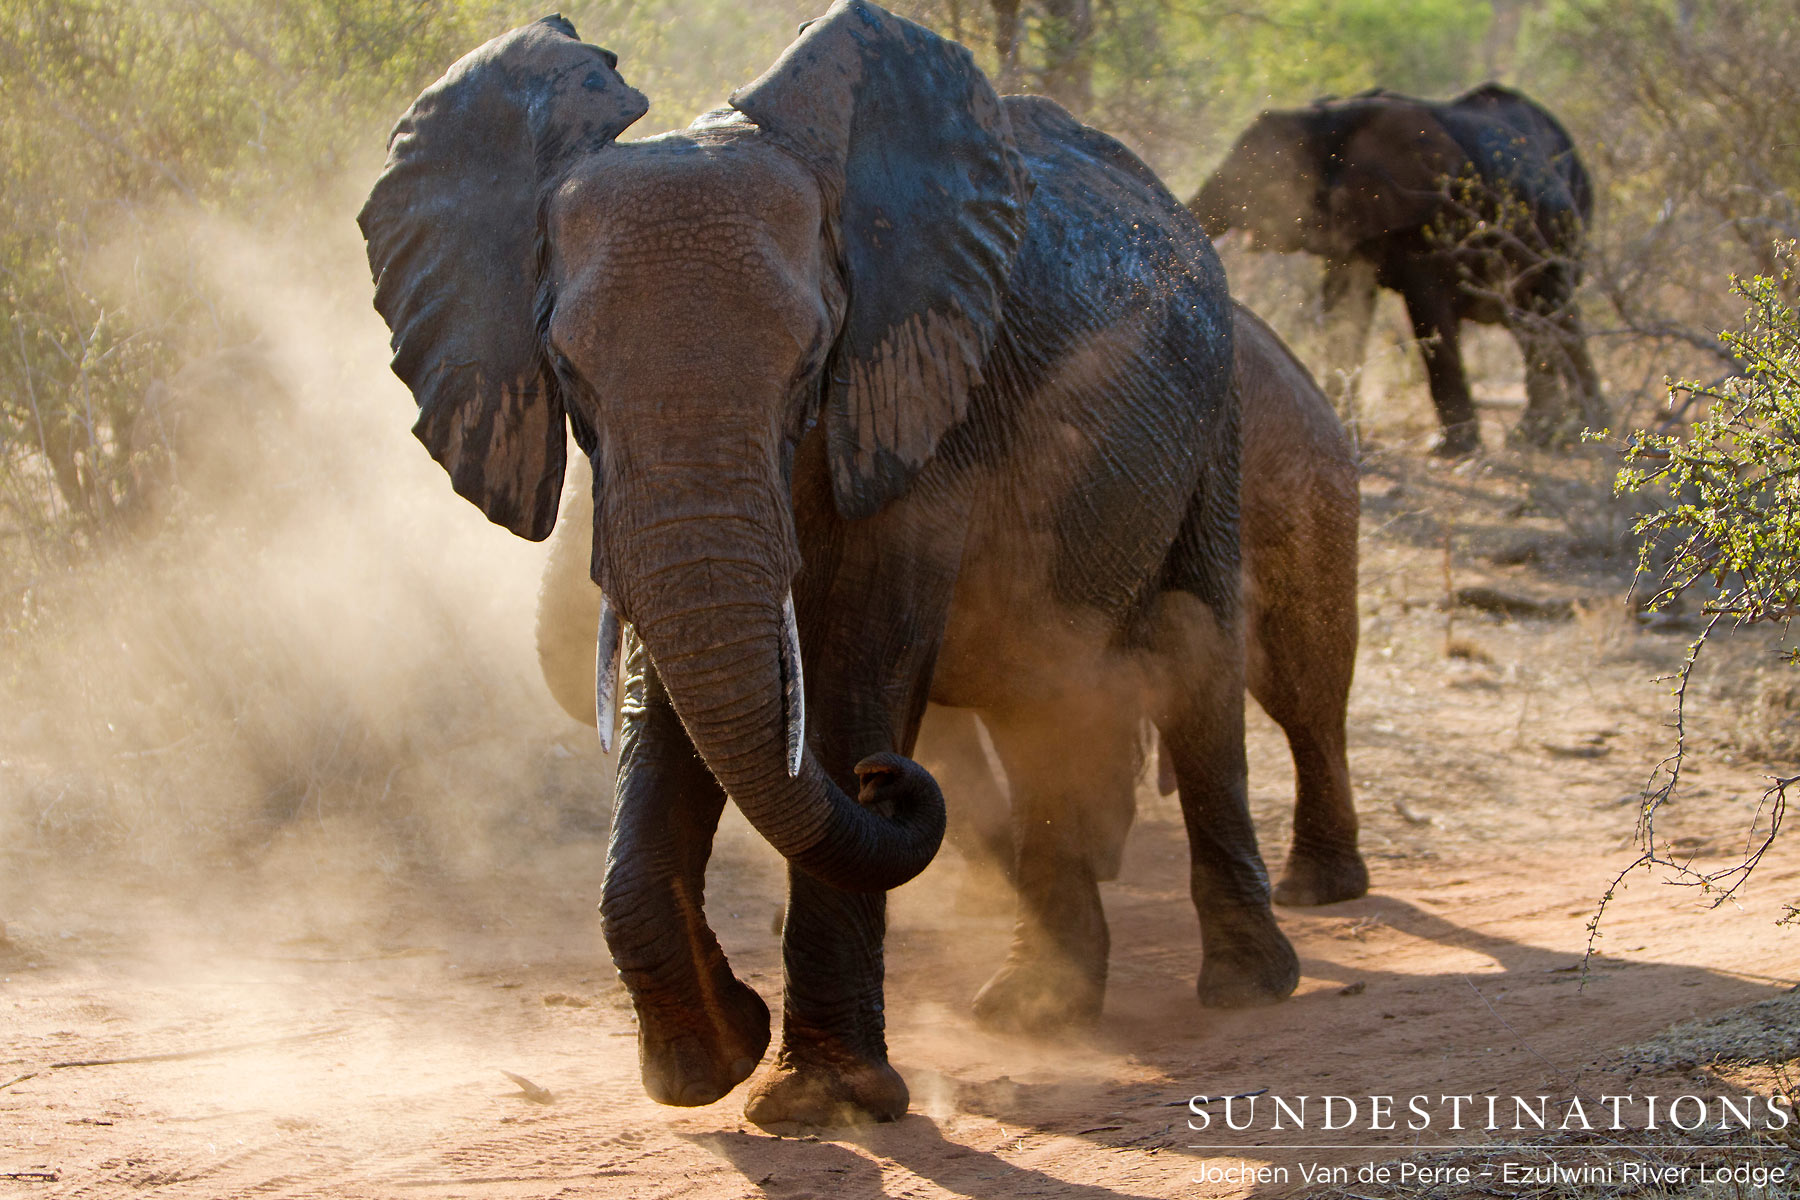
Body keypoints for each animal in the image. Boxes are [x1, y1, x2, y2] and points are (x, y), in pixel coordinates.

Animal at [1190, 84, 1606, 456]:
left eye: (1261, 180)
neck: (1332, 116)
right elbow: (1346, 308)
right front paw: (1346, 439)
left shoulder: (1430, 214)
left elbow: (1428, 312)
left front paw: (1451, 450)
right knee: (1539, 324)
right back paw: (1562, 432)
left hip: (1563, 226)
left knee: (1550, 316)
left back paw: (1556, 435)